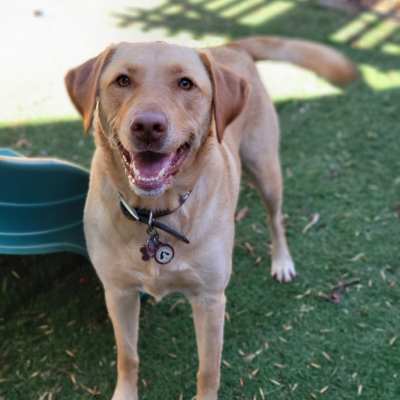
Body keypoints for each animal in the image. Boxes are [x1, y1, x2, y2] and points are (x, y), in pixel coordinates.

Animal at [65, 36, 356, 398]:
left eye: (185, 84)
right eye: (122, 80)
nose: (147, 126)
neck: (155, 214)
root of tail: (230, 47)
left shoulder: (209, 299)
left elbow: (208, 368)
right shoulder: (119, 293)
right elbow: (128, 356)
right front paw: (125, 393)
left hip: (266, 169)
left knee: (275, 219)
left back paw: (282, 262)